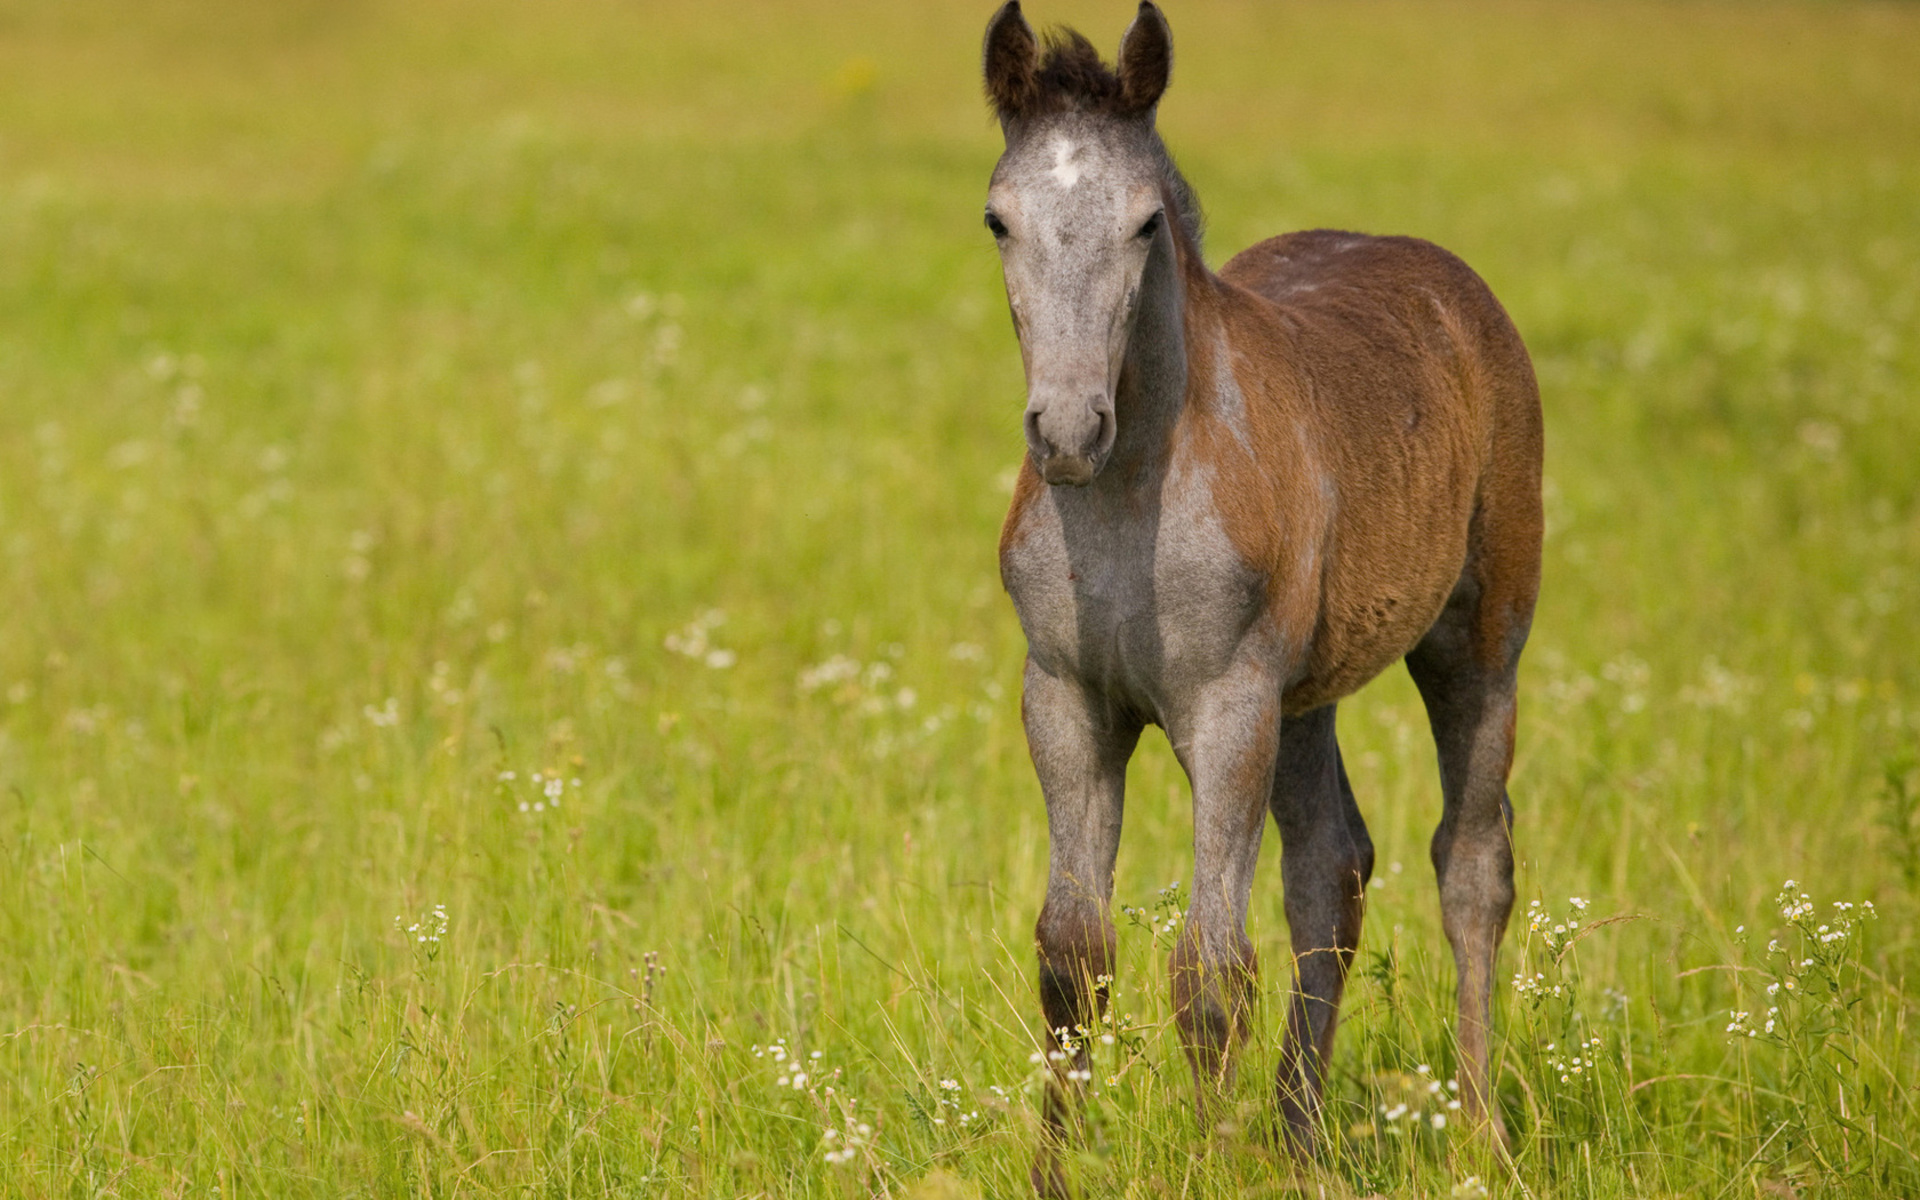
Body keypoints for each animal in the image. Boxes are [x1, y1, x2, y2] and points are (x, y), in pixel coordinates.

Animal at [983, 2, 1551, 1190]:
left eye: (1146, 222)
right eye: (999, 220)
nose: (1067, 429)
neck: (1130, 496)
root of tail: (1454, 285)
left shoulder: (1227, 705)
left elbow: (1208, 970)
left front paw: (1207, 1163)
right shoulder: (1065, 698)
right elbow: (1070, 957)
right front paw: (1055, 1170)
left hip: (1478, 643)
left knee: (1473, 866)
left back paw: (1479, 1136)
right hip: (1306, 697)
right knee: (1332, 869)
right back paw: (1299, 1140)